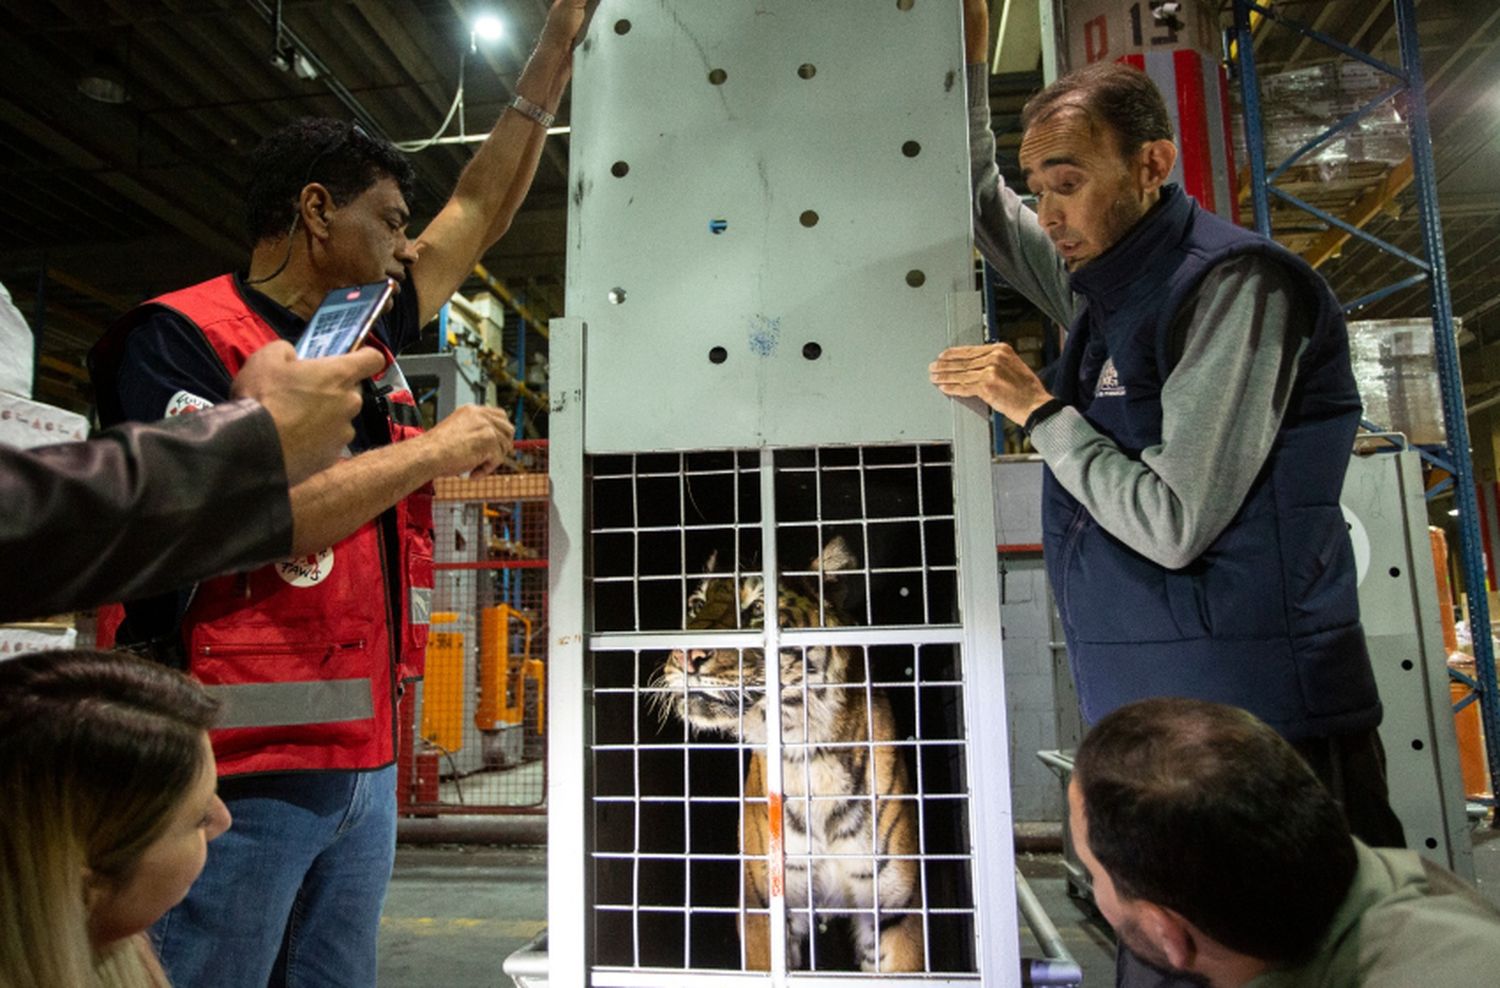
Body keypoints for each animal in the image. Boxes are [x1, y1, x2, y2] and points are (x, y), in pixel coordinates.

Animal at [648, 536, 918, 971]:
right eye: (695, 604)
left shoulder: (896, 910)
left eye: (758, 608)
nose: (682, 657)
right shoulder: (765, 907)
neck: (807, 755)